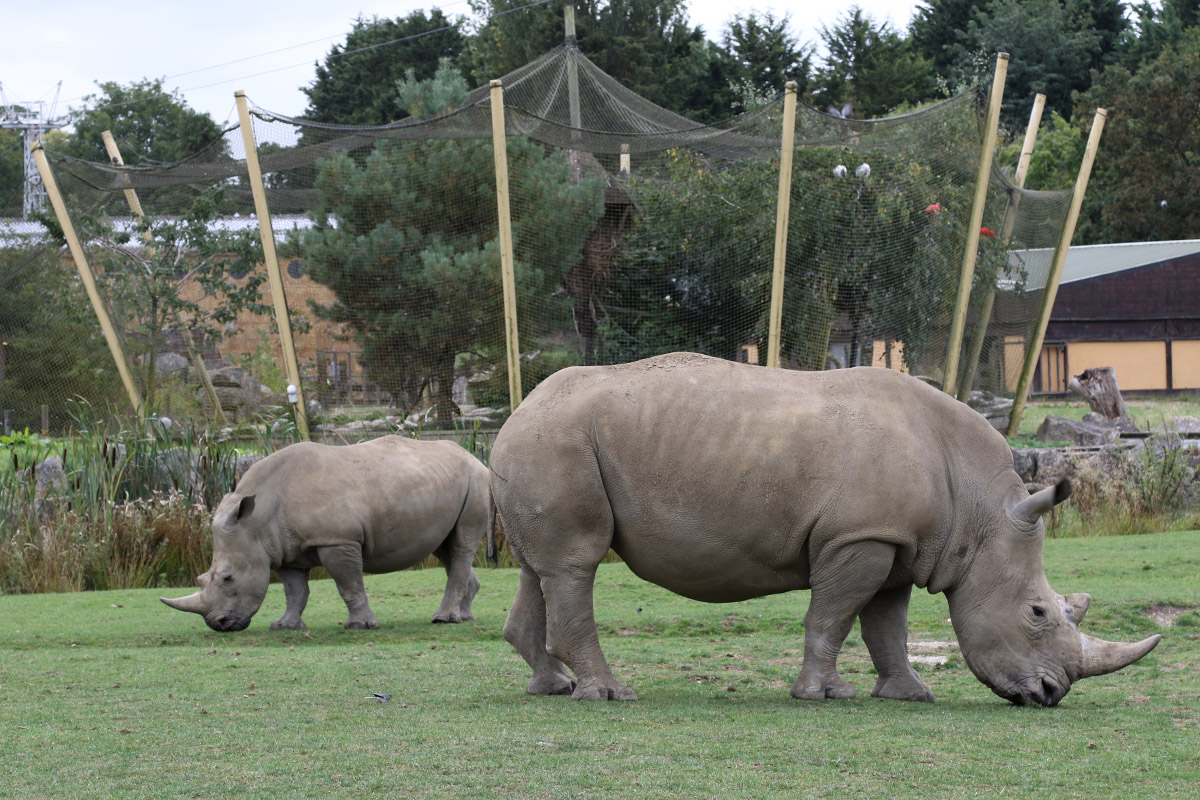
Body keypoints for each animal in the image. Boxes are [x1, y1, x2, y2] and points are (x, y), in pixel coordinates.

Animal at [162, 435, 491, 632]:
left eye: (228, 578)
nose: (218, 624)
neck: (256, 521)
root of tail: (475, 457)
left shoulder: (337, 540)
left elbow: (348, 584)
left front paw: (359, 626)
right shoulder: (282, 550)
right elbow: (295, 590)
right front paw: (285, 626)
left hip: (476, 481)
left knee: (461, 545)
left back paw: (443, 620)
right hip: (447, 483)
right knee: (447, 548)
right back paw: (465, 616)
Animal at [490, 353, 1160, 705]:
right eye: (1038, 613)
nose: (1050, 694)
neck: (981, 511)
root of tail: (517, 410)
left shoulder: (899, 542)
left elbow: (886, 625)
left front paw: (909, 695)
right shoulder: (858, 537)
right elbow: (834, 615)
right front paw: (821, 695)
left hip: (546, 443)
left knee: (541, 568)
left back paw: (551, 687)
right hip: (559, 440)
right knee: (575, 564)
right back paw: (608, 695)